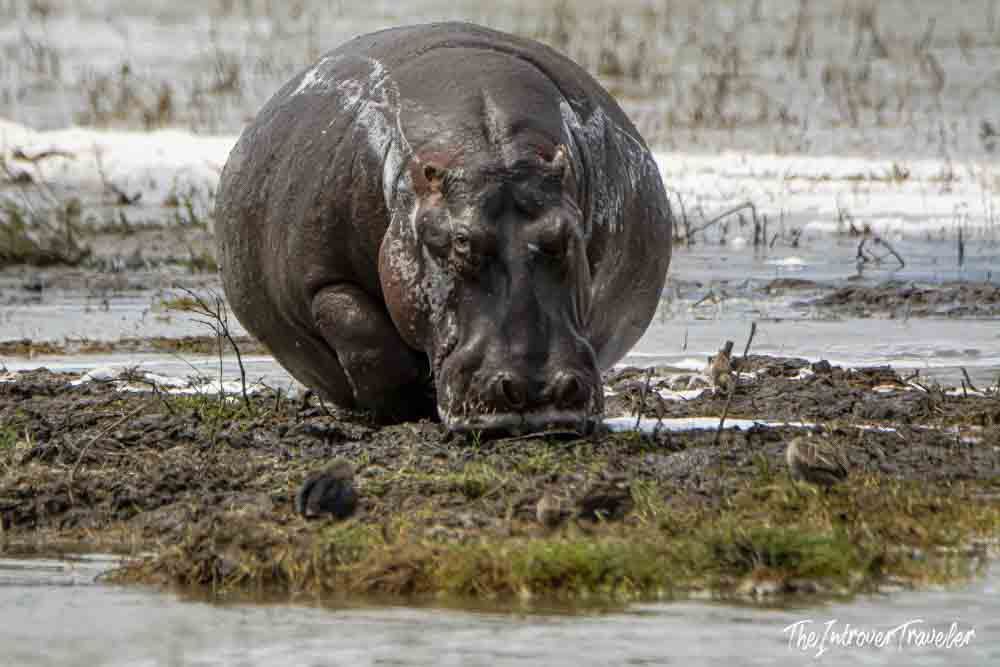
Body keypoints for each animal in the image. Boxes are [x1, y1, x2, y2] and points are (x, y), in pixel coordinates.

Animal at [216, 22, 672, 433]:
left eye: (565, 237)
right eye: (460, 241)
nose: (536, 391)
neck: (489, 152)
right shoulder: (321, 277)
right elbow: (360, 331)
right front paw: (404, 404)